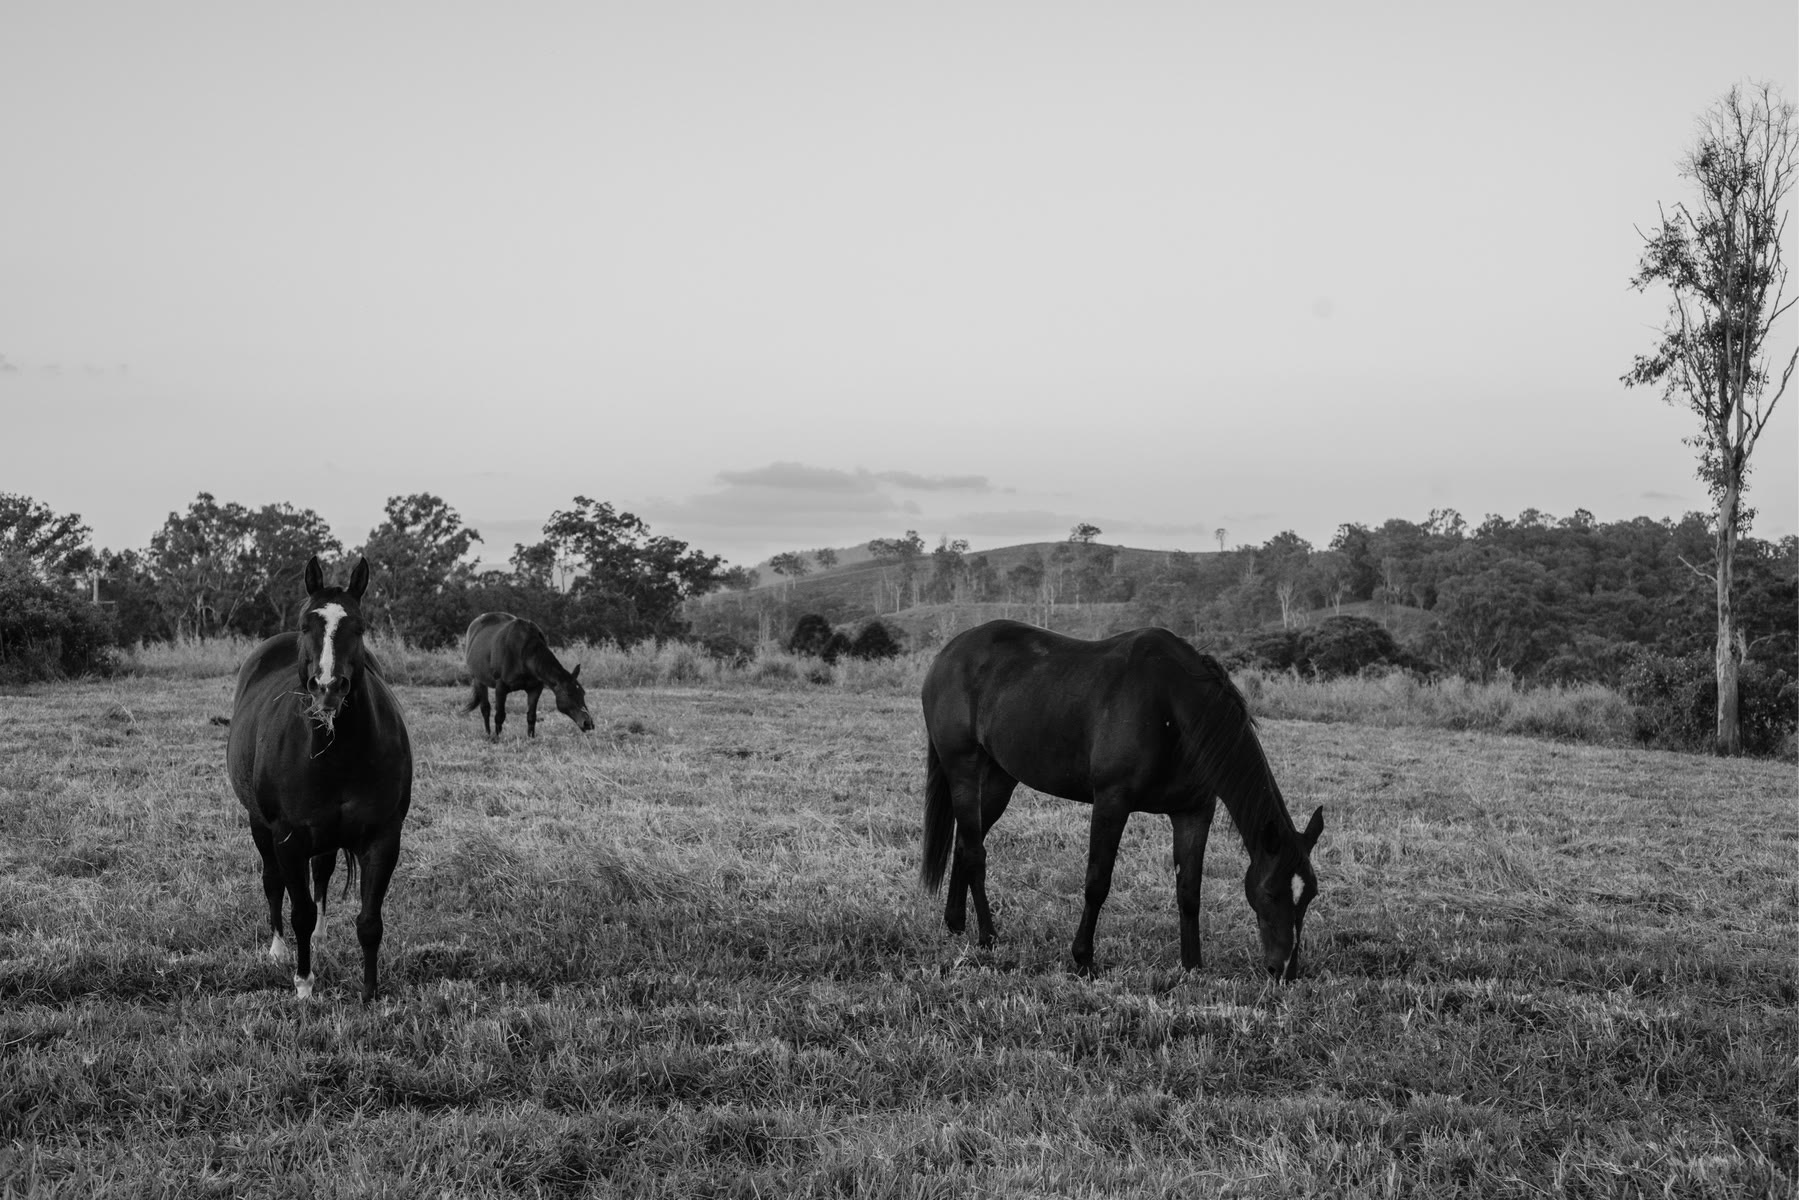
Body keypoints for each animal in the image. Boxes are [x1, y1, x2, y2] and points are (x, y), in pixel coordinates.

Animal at [226, 556, 413, 1002]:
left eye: (359, 626)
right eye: (305, 624)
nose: (328, 687)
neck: (336, 754)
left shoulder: (383, 838)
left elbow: (369, 920)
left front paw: (369, 993)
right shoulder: (288, 838)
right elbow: (300, 910)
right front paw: (304, 985)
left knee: (323, 875)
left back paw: (323, 936)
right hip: (260, 826)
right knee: (272, 882)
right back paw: (278, 950)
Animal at [463, 612, 595, 738]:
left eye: (583, 693)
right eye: (568, 694)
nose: (588, 723)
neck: (523, 653)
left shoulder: (535, 689)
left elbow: (531, 716)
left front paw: (531, 738)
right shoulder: (501, 687)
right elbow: (499, 716)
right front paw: (497, 738)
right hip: (478, 680)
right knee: (485, 708)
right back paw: (488, 733)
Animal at [920, 619, 1324, 980]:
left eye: (1309, 896)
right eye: (1270, 893)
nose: (1285, 970)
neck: (1172, 704)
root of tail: (947, 654)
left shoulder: (1194, 812)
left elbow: (1189, 890)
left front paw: (1193, 965)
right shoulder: (1111, 803)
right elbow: (1097, 882)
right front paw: (1083, 959)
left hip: (1000, 778)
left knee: (965, 842)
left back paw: (956, 923)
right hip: (963, 770)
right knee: (975, 851)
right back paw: (988, 935)